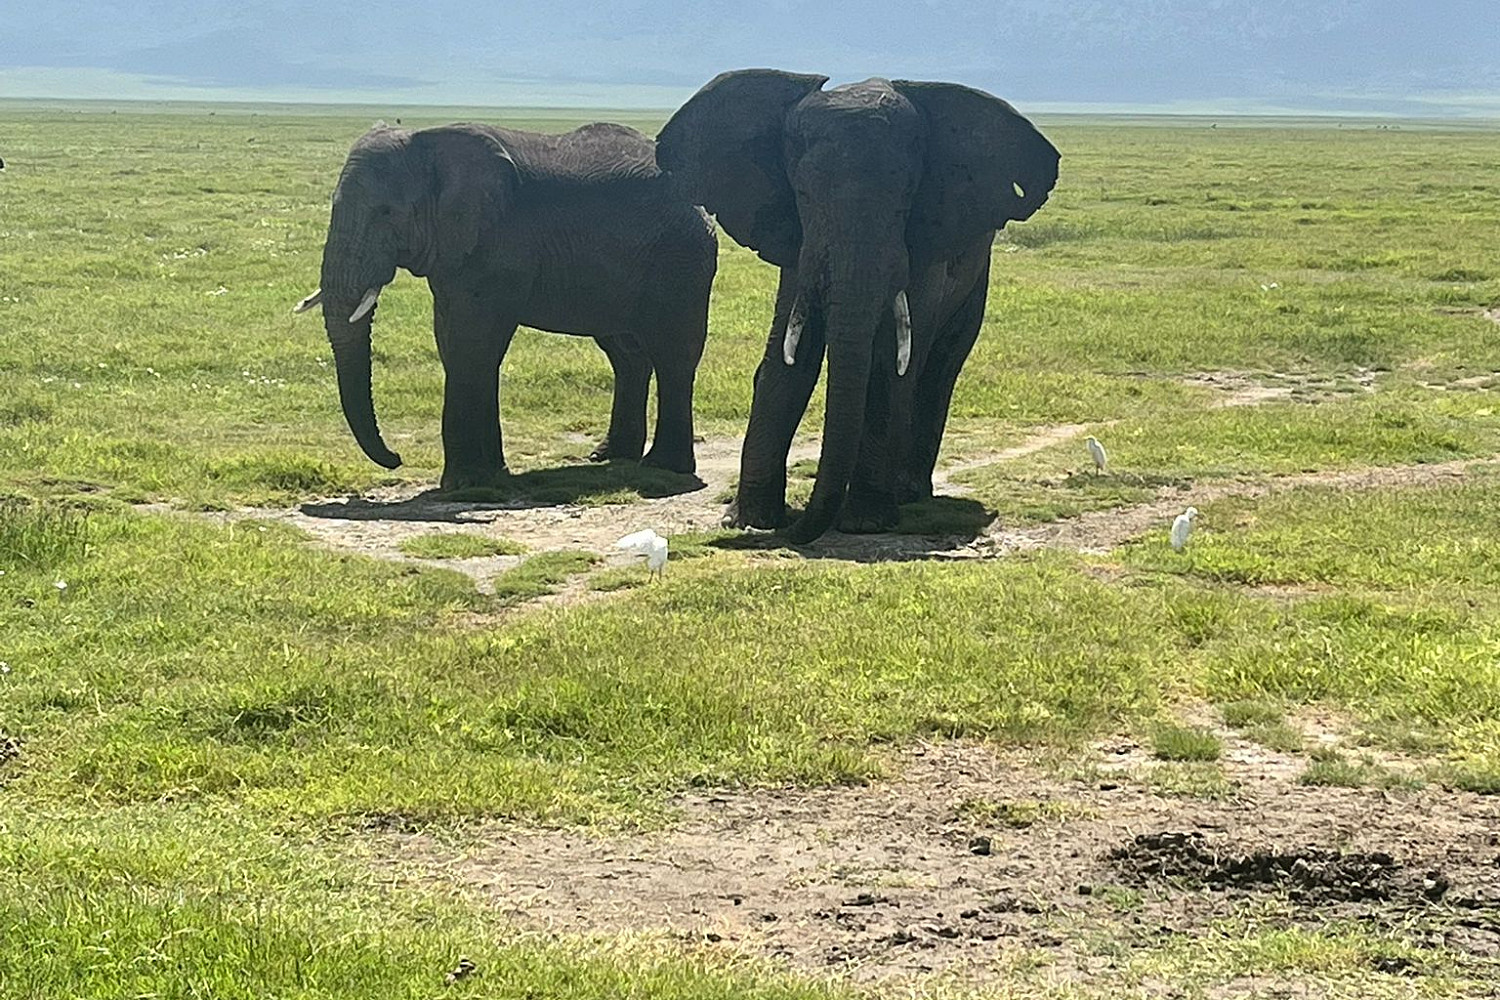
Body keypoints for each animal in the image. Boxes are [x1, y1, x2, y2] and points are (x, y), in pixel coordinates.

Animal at [295, 121, 718, 488]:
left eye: (386, 212)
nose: (397, 459)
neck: (427, 141)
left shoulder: (498, 245)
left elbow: (472, 347)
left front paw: (463, 483)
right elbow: (458, 347)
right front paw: (491, 475)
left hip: (681, 261)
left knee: (673, 356)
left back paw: (664, 468)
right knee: (627, 355)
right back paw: (610, 456)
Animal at [656, 70, 1059, 542]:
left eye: (906, 195)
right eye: (803, 194)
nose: (792, 532)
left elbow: (889, 365)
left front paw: (865, 522)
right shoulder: (798, 239)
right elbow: (788, 358)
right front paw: (749, 520)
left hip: (977, 276)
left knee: (939, 368)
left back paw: (907, 493)